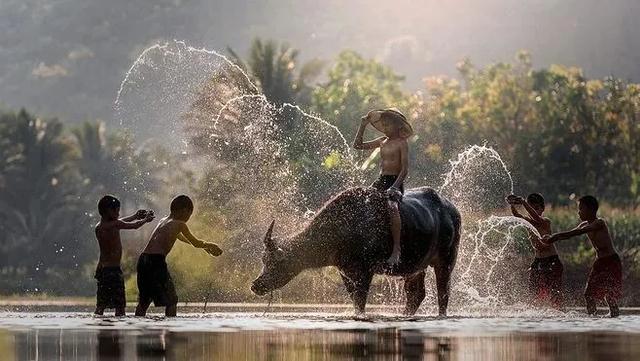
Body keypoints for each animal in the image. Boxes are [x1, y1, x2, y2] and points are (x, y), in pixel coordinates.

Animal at [249, 186, 460, 316]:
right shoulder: (346, 273)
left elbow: (360, 303)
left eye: (276, 261)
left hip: (446, 261)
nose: (256, 285)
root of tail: (453, 211)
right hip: (415, 267)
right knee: (416, 294)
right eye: (263, 259)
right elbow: (355, 303)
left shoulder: (364, 271)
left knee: (443, 294)